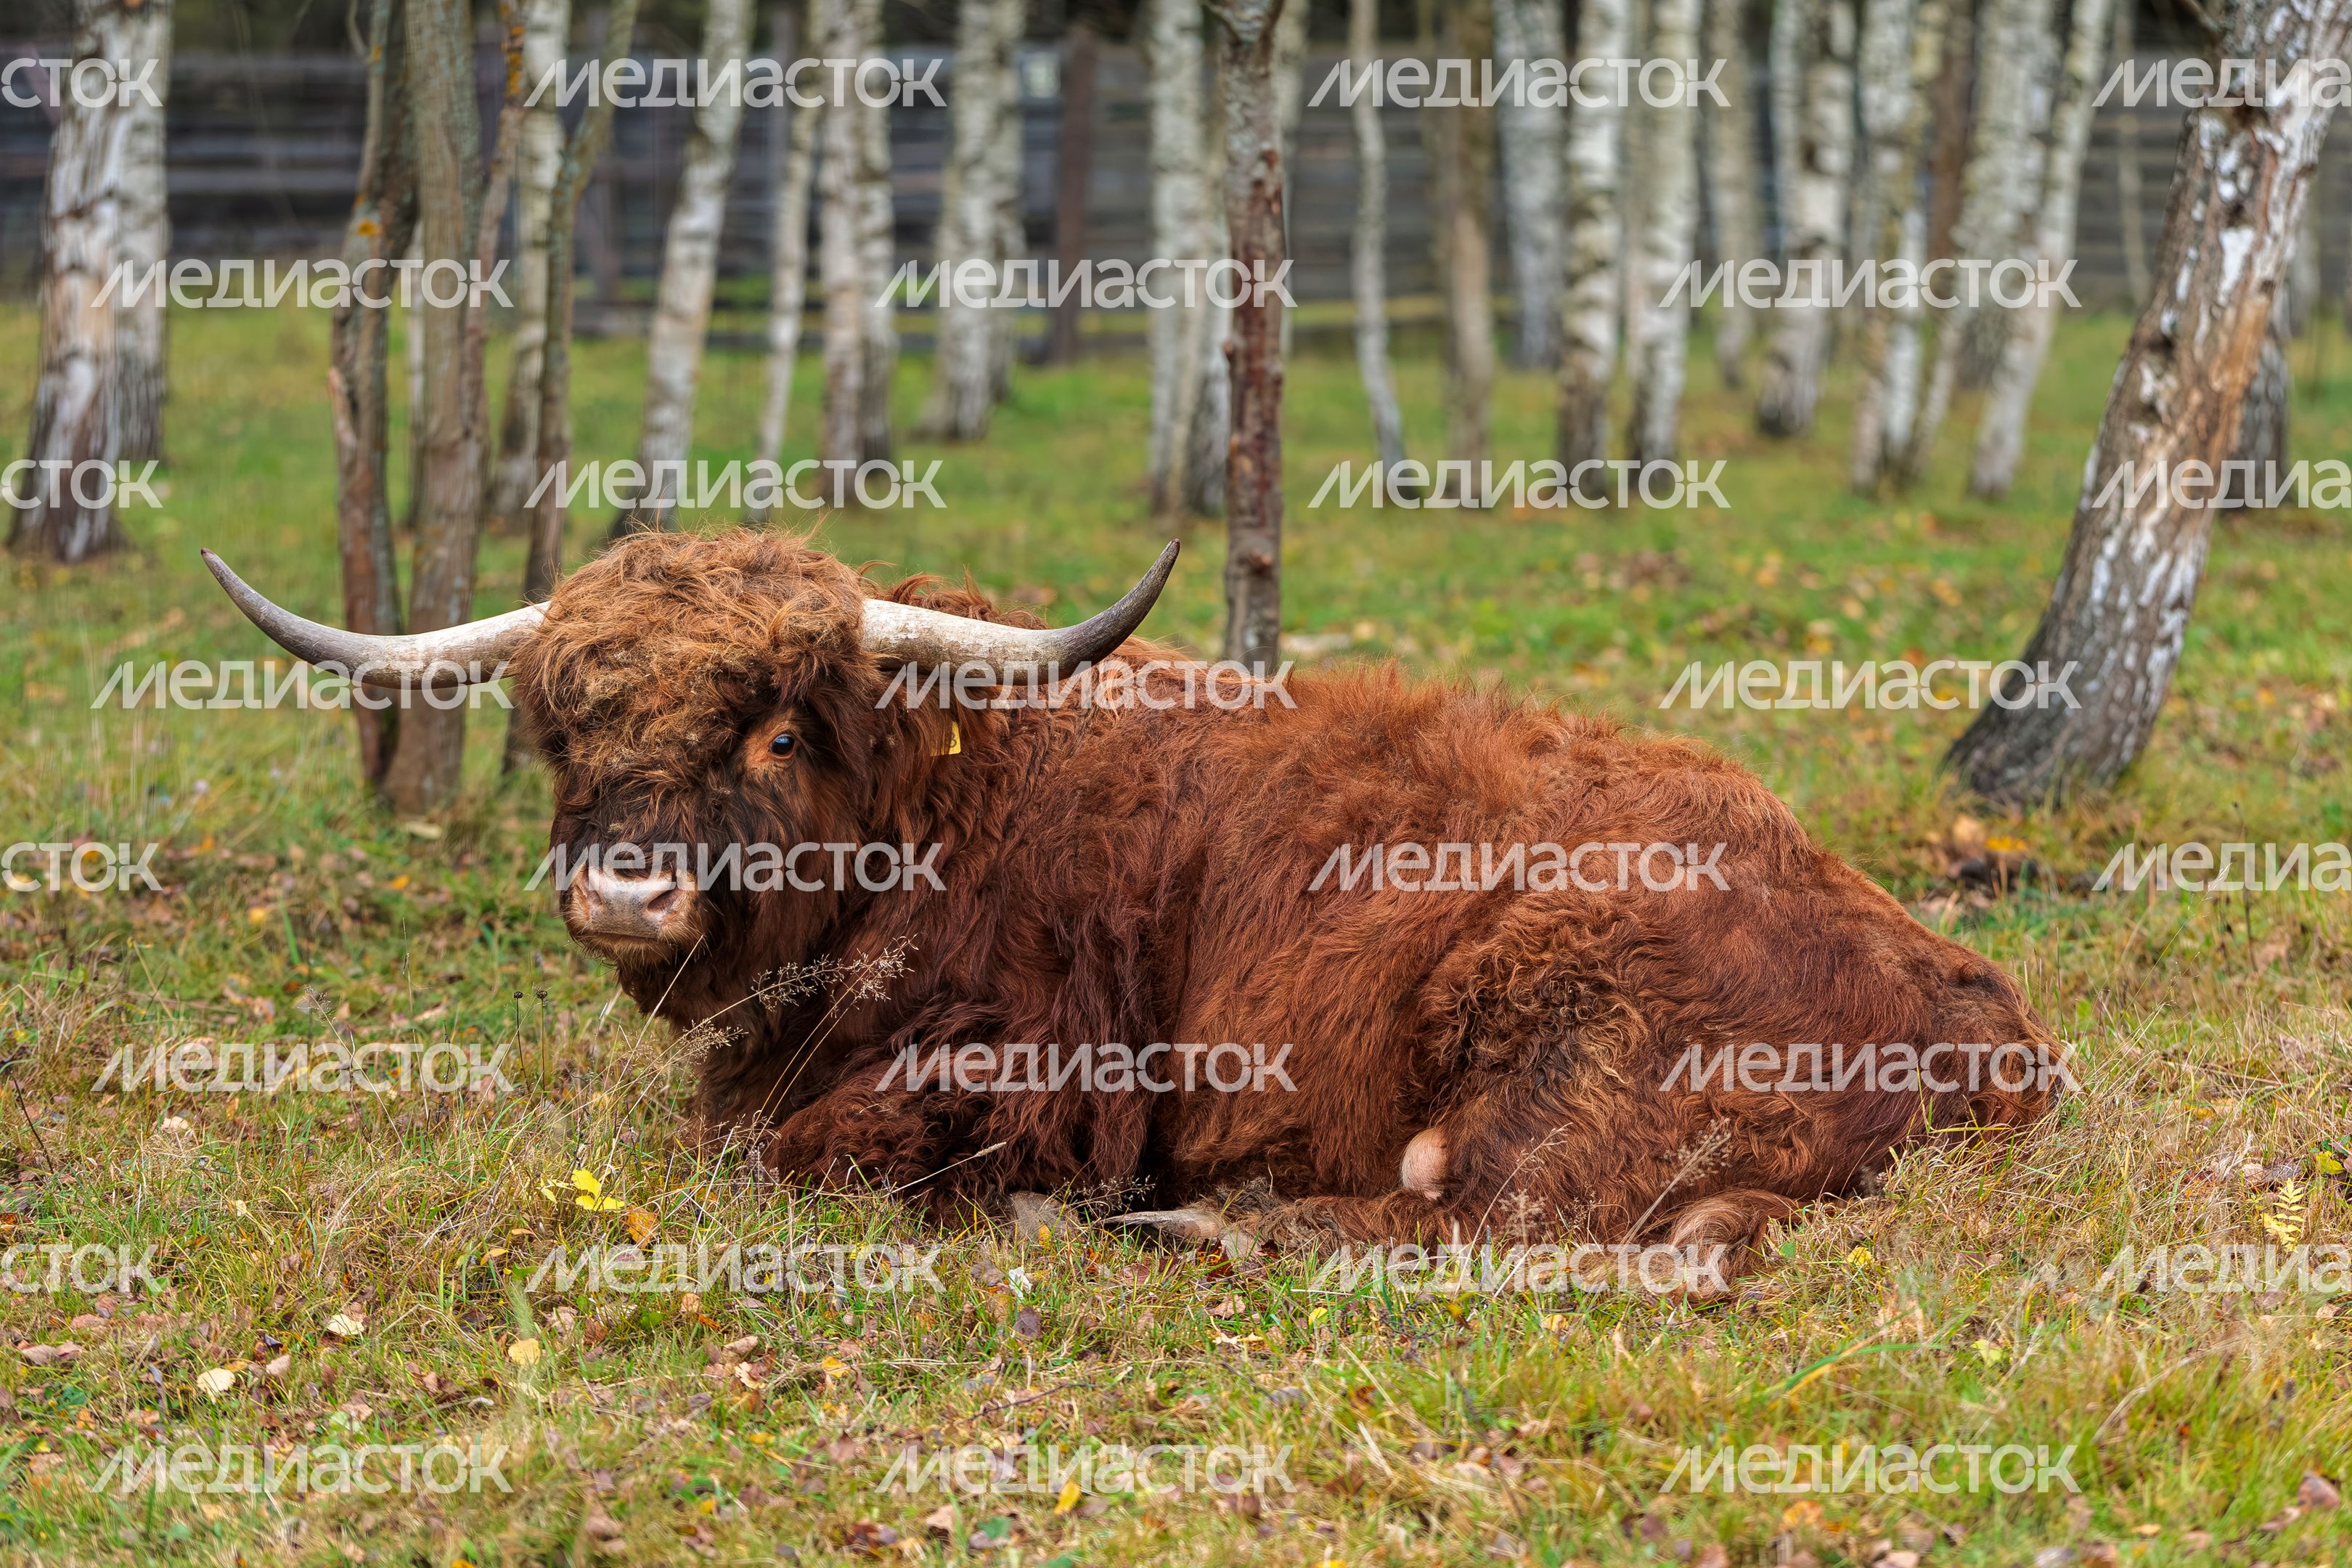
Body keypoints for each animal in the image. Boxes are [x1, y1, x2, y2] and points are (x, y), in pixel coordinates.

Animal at [205, 531, 2064, 1278]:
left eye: (780, 726)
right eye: (563, 727)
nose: (626, 888)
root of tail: (1989, 1025)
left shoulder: (1036, 1080)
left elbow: (780, 1147)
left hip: (1558, 1054)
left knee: (1488, 1228)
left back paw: (1205, 1228)